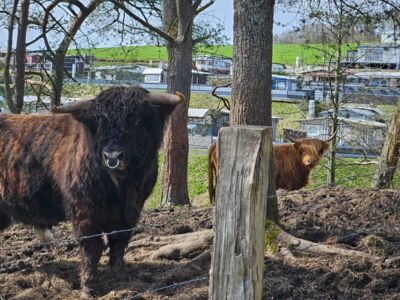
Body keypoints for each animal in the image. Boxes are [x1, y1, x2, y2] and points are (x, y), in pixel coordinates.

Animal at [0, 85, 184, 296]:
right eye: (98, 122)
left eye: (136, 120)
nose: (112, 156)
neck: (122, 187)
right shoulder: (84, 211)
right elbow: (92, 247)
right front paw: (89, 286)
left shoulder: (131, 212)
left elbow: (119, 242)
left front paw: (118, 275)